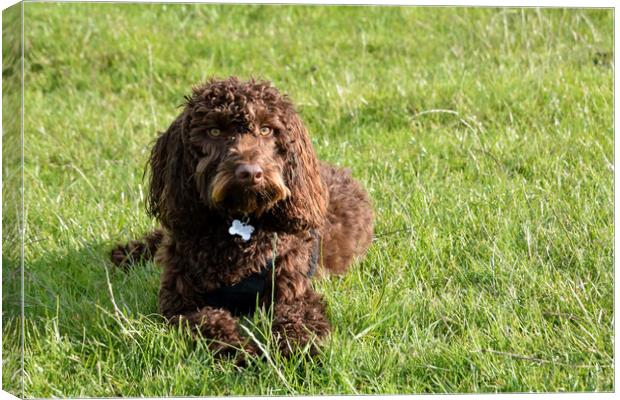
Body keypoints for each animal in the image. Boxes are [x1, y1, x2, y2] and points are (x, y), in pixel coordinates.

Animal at [111, 76, 372, 358]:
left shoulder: (294, 293)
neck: (241, 223)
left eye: (266, 130)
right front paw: (239, 352)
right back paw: (127, 254)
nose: (250, 173)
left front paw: (297, 352)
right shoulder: (180, 304)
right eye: (214, 131)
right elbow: (210, 321)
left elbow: (296, 320)